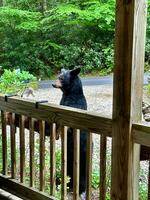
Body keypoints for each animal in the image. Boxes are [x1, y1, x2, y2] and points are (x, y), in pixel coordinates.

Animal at [52, 68, 87, 196]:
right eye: (58, 76)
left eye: (62, 78)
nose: (53, 84)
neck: (69, 94)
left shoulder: (73, 106)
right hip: (66, 168)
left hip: (81, 168)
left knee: (81, 182)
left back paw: (80, 192)